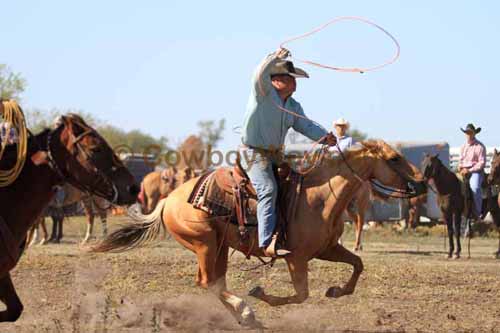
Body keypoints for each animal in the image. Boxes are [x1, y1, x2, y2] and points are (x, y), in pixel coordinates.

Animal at [94, 139, 426, 326]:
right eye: (394, 158)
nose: (422, 182)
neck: (320, 197)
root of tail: (168, 200)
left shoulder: (327, 249)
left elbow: (358, 264)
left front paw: (335, 291)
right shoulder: (296, 258)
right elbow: (301, 294)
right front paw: (260, 294)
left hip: (219, 248)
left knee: (214, 282)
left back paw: (244, 318)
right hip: (204, 244)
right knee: (208, 282)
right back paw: (246, 311)